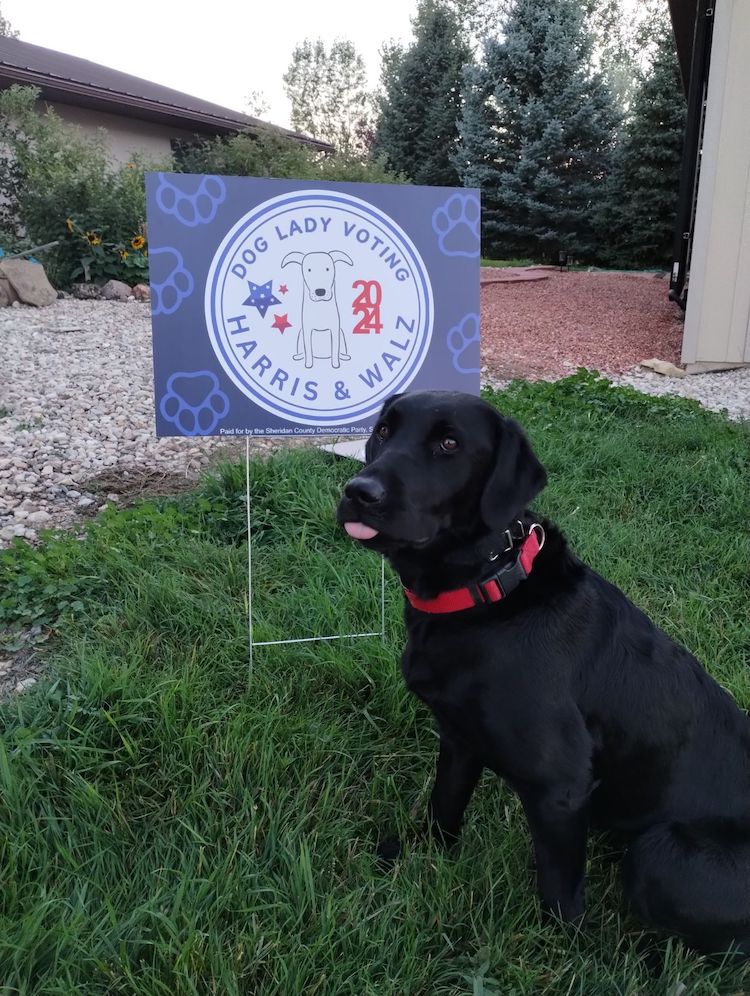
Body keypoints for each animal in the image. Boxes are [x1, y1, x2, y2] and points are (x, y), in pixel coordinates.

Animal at [338, 392, 750, 956]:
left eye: (449, 443)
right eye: (382, 431)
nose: (359, 492)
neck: (487, 587)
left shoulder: (561, 787)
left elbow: (559, 896)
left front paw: (561, 955)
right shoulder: (459, 739)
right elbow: (444, 807)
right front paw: (422, 857)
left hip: (661, 856)